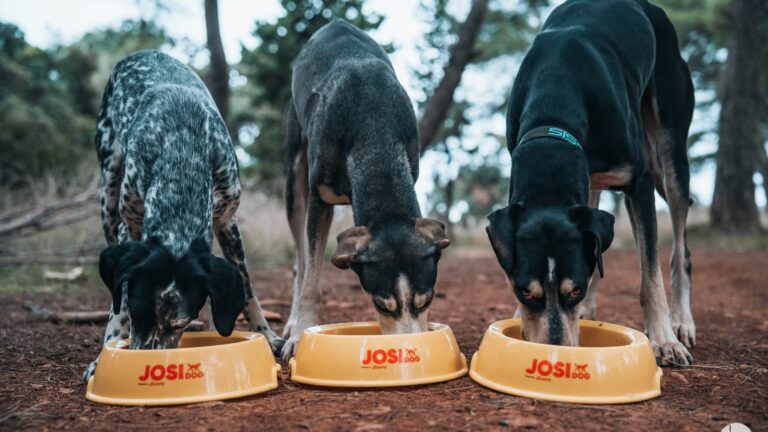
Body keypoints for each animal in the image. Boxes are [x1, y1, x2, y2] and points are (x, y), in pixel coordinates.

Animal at [85, 51, 282, 382]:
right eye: (138, 314)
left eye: (179, 324)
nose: (145, 362)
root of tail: (140, 53)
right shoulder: (130, 227)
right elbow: (119, 305)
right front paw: (106, 352)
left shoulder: (227, 222)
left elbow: (248, 289)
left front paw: (266, 335)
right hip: (109, 192)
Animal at [280, 19, 450, 358]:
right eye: (382, 307)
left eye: (427, 300)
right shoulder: (320, 199)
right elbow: (311, 279)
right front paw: (301, 333)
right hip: (294, 177)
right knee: (300, 264)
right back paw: (293, 321)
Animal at [488, 0, 700, 368]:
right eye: (524, 291)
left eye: (576, 290)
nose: (553, 351)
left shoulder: (639, 183)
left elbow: (650, 276)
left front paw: (664, 340)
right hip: (594, 182)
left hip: (671, 149)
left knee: (679, 249)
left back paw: (681, 323)